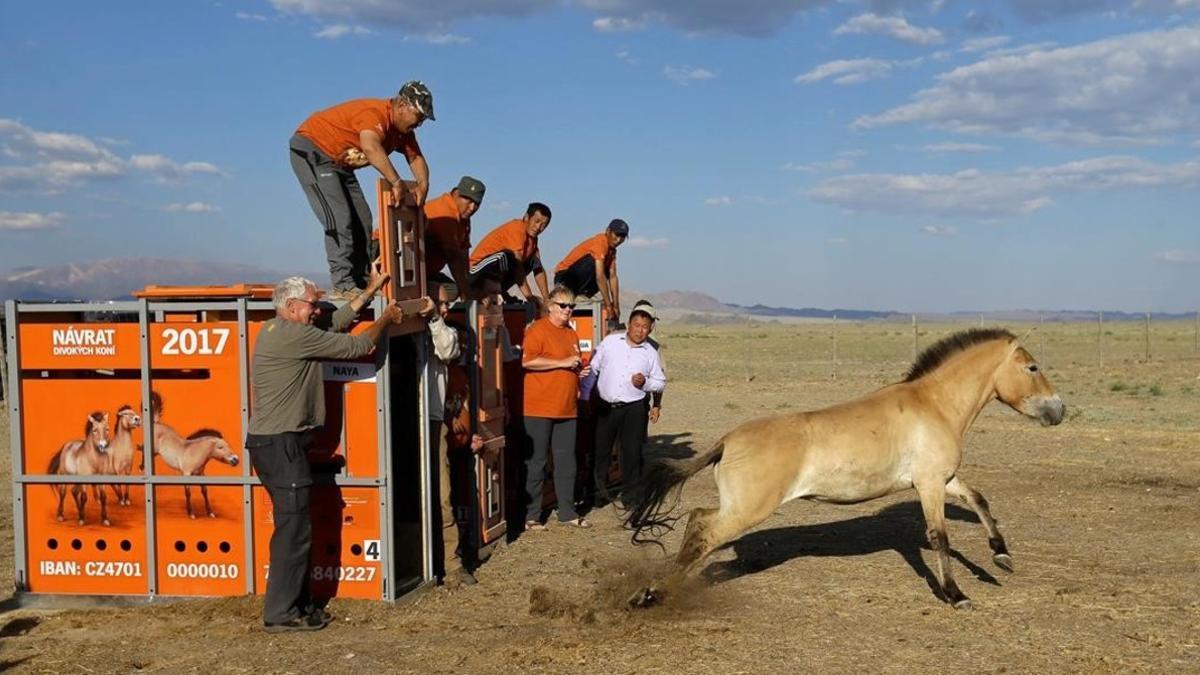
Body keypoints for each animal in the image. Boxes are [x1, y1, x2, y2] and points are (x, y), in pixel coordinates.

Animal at [624, 329, 1065, 607]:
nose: (1058, 410)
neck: (934, 405)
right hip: (747, 510)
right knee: (702, 531)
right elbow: (940, 537)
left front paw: (1000, 557)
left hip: (738, 508)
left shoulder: (943, 479)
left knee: (697, 521)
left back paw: (648, 593)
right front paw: (957, 596)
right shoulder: (929, 486)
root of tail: (727, 441)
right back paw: (651, 594)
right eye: (1032, 368)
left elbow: (979, 500)